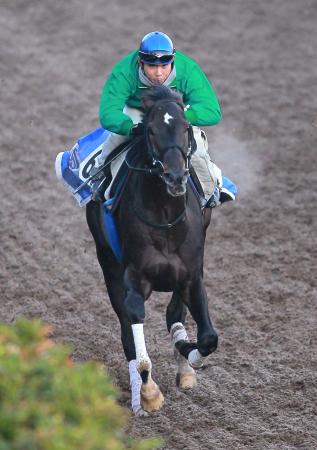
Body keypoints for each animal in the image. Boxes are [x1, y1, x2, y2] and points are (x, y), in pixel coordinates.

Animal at [85, 86, 217, 416]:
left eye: (186, 128)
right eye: (151, 131)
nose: (175, 177)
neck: (165, 217)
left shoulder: (191, 276)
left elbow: (207, 338)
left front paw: (186, 354)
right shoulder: (134, 280)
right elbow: (137, 343)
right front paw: (148, 394)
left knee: (174, 314)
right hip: (108, 264)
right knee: (127, 333)